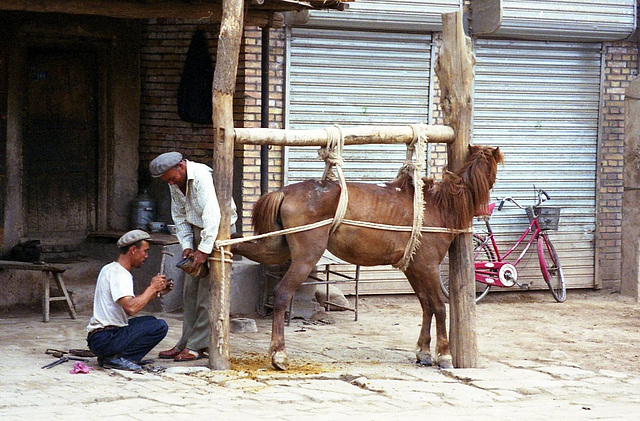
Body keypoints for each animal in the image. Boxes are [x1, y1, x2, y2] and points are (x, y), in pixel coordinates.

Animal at [232, 144, 502, 368]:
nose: (486, 210)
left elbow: (426, 305)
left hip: (276, 249)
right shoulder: (428, 267)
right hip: (304, 259)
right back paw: (279, 354)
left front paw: (424, 352)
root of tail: (285, 192)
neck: (440, 205)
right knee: (281, 294)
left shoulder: (413, 268)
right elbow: (439, 306)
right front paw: (444, 355)